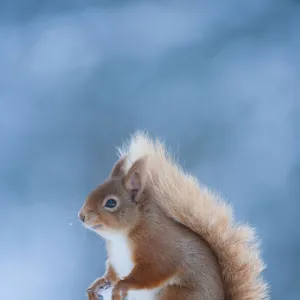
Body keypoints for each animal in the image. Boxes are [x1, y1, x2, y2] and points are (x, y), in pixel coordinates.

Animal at [78, 131, 268, 300]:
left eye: (111, 203)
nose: (81, 216)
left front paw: (122, 286)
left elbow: (154, 272)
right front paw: (97, 285)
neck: (120, 237)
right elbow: (111, 275)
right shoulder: (116, 262)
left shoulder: (158, 248)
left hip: (176, 294)